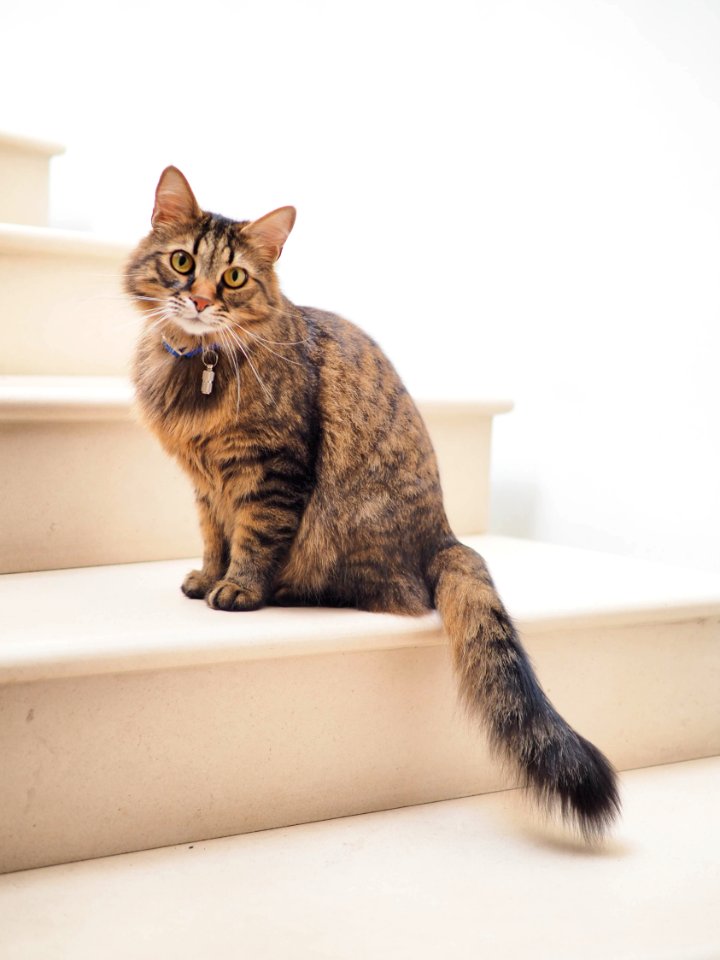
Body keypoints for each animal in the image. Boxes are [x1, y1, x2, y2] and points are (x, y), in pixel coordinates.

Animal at [125, 167, 620, 840]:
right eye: (182, 263)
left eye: (233, 278)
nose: (200, 302)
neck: (198, 365)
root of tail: (446, 534)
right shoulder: (206, 485)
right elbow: (213, 537)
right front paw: (207, 577)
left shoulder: (271, 470)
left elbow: (253, 539)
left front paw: (238, 589)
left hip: (341, 528)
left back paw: (287, 590)